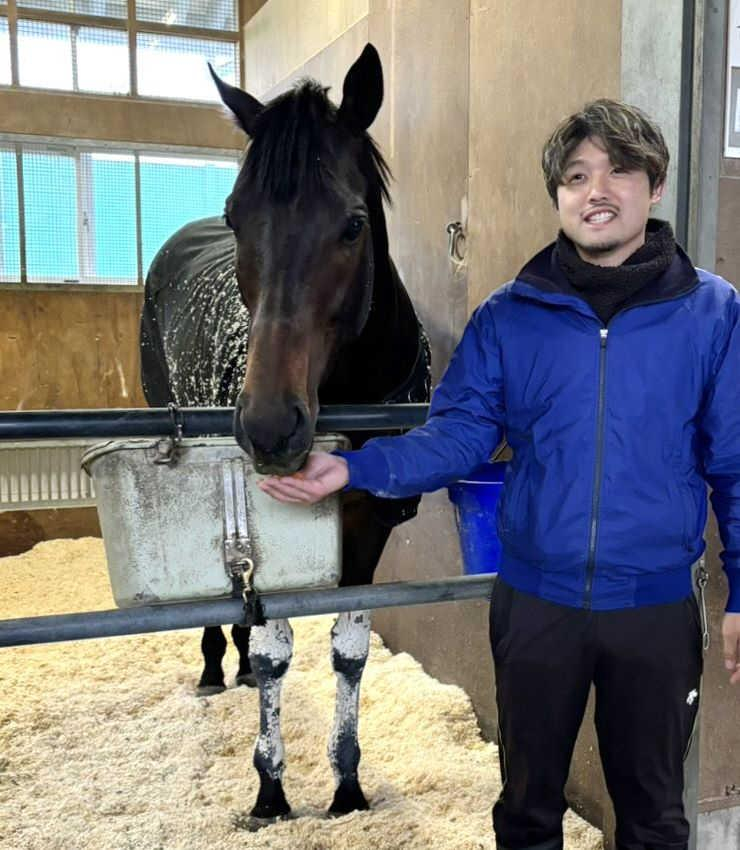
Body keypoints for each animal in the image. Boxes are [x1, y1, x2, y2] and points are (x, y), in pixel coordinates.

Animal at [139, 44, 431, 825]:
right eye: (236, 217)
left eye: (353, 224)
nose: (271, 427)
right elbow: (277, 649)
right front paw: (271, 790)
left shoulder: (369, 525)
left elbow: (349, 646)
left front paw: (347, 786)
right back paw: (217, 666)